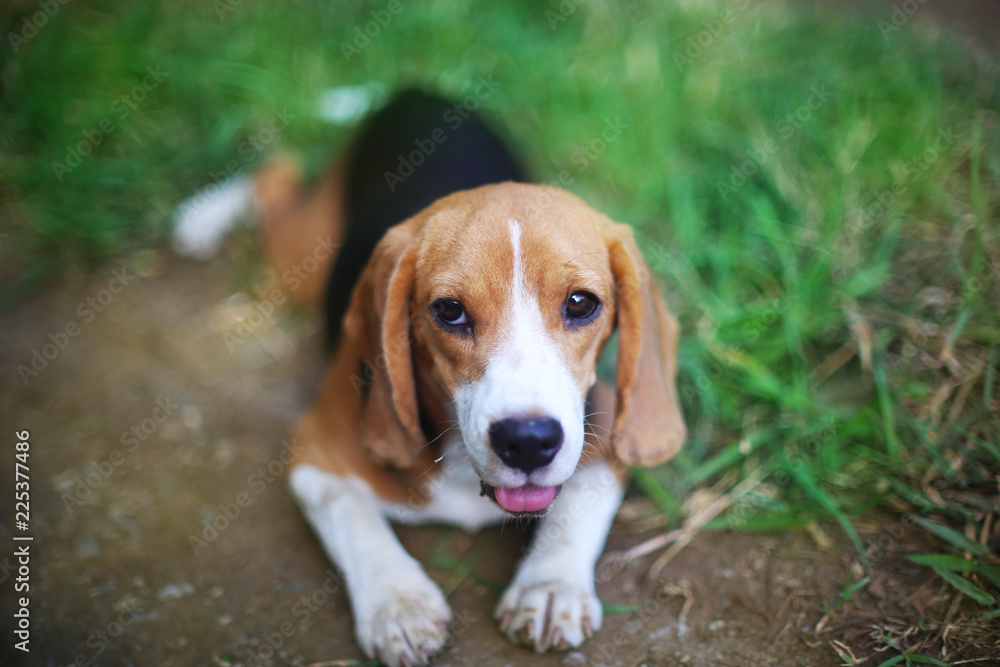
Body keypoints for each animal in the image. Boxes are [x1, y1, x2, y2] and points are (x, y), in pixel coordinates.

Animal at [174, 90, 688, 667]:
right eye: (449, 311)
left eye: (581, 303)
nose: (528, 441)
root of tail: (418, 90)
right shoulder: (315, 452)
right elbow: (352, 513)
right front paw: (398, 602)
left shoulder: (605, 434)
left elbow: (580, 499)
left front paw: (549, 587)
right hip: (299, 260)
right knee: (274, 176)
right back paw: (202, 215)